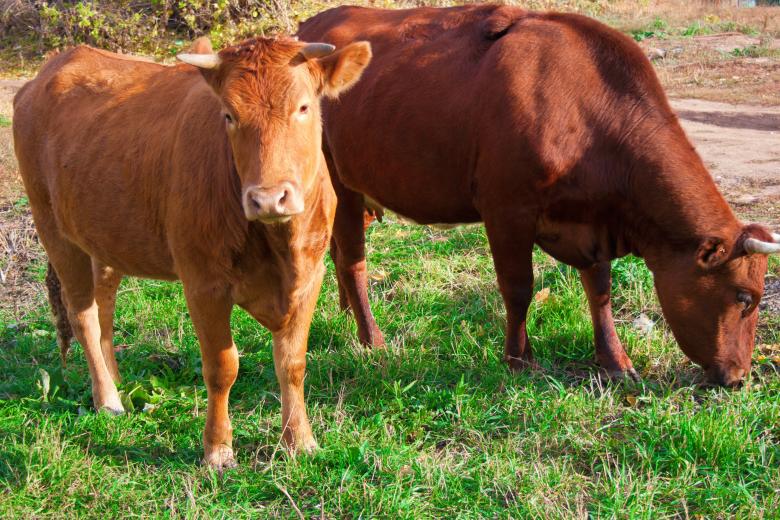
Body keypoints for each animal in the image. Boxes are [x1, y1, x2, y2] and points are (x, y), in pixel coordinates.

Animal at [12, 36, 372, 469]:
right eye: (229, 115)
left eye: (303, 107)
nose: (268, 198)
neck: (278, 245)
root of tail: (54, 66)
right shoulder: (203, 284)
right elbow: (222, 366)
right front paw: (217, 450)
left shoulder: (310, 274)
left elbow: (293, 363)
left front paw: (299, 440)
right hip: (53, 228)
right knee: (82, 316)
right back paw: (109, 400)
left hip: (104, 236)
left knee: (104, 308)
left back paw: (116, 380)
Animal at [298, 5, 780, 387]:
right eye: (744, 297)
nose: (739, 377)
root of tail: (313, 24)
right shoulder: (507, 209)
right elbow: (518, 288)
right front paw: (518, 359)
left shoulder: (593, 219)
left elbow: (599, 291)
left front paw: (615, 362)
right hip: (337, 179)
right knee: (352, 260)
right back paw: (371, 338)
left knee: (340, 253)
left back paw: (345, 314)